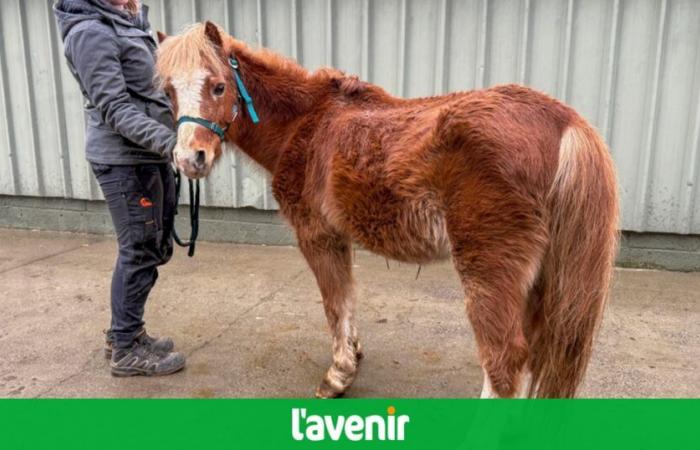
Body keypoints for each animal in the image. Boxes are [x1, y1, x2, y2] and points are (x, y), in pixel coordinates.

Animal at [157, 22, 616, 400]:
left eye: (218, 86)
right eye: (168, 92)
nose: (189, 159)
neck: (307, 124)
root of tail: (564, 124)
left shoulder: (316, 237)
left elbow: (334, 303)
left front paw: (338, 376)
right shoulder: (339, 238)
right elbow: (349, 298)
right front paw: (354, 353)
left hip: (489, 273)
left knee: (504, 363)